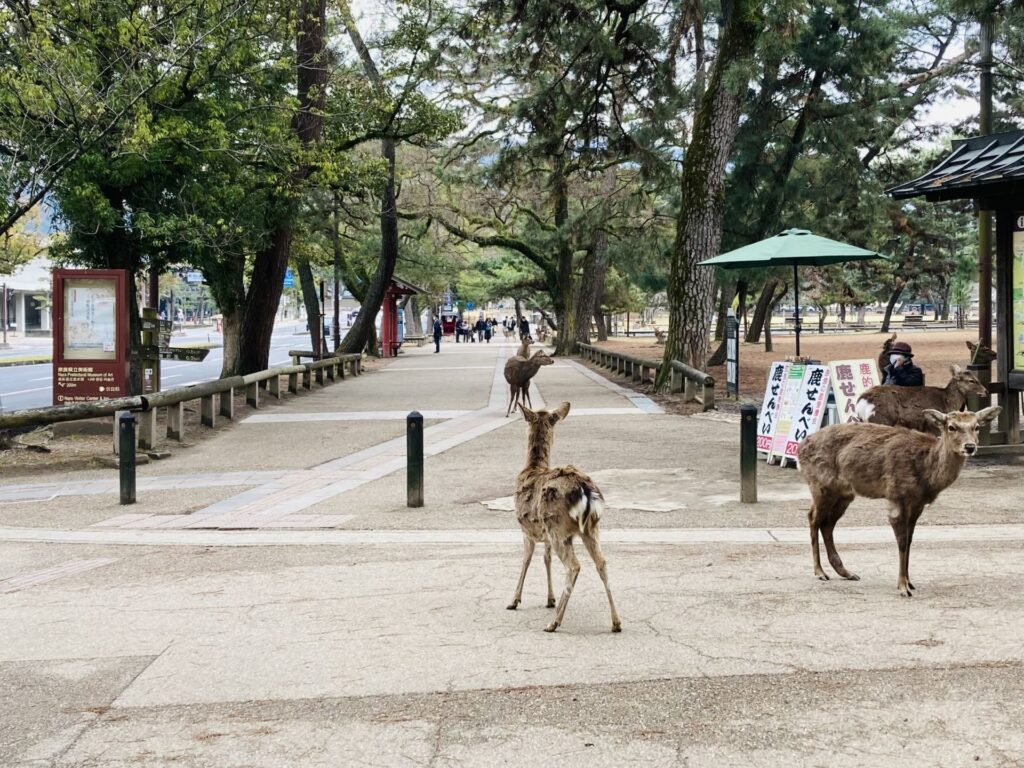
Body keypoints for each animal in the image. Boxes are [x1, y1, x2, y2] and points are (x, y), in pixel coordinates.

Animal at [507, 399, 618, 634]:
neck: (532, 467)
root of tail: (585, 489)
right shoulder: (545, 535)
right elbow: (546, 559)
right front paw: (550, 599)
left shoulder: (527, 530)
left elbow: (526, 560)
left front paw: (514, 600)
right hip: (590, 527)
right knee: (602, 563)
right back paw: (616, 622)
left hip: (558, 527)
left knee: (574, 566)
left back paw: (554, 622)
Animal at [798, 405, 999, 598]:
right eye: (951, 427)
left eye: (976, 427)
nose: (970, 446)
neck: (926, 474)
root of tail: (800, 447)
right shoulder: (896, 496)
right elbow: (902, 542)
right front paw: (902, 587)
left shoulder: (918, 504)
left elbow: (909, 540)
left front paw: (910, 582)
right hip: (821, 484)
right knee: (813, 517)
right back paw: (820, 572)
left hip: (844, 493)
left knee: (827, 524)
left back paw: (846, 572)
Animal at [856, 364, 991, 434]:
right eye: (972, 380)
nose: (986, 391)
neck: (947, 402)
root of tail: (860, 403)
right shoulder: (933, 426)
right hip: (882, 419)